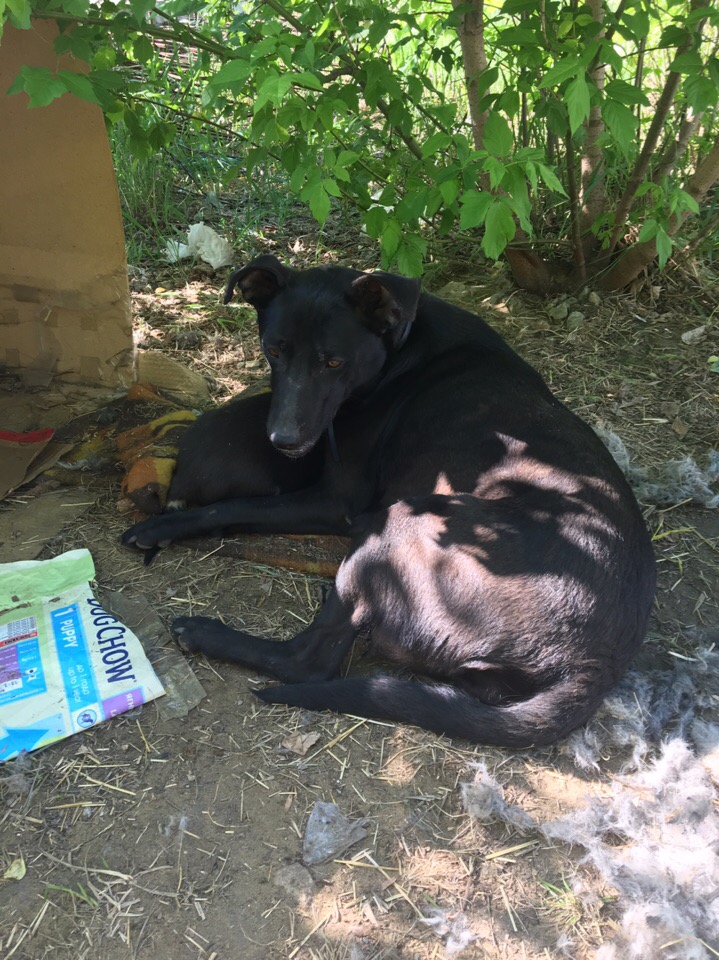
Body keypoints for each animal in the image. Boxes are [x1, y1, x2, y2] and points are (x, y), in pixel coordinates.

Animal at [122, 255, 657, 747]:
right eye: (274, 350)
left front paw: (160, 528)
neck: (400, 347)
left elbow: (232, 508)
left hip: (400, 523)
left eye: (333, 361)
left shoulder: (334, 500)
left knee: (306, 662)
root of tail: (591, 665)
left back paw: (204, 633)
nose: (283, 439)